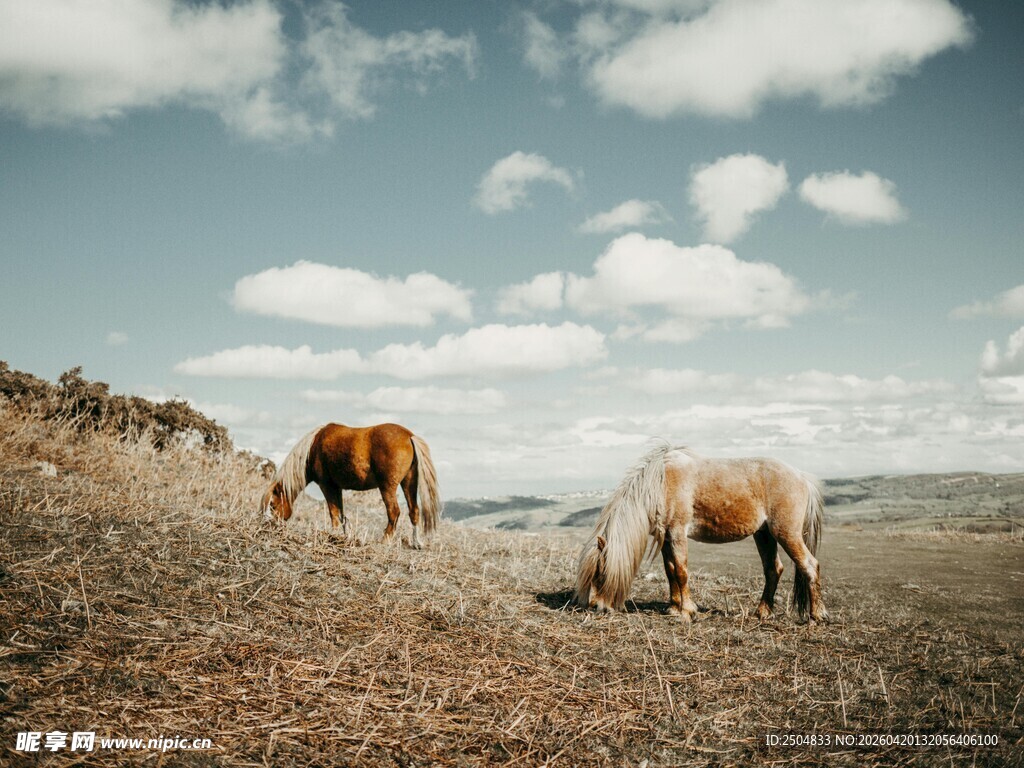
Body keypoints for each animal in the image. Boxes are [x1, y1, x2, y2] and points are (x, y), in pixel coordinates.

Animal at [260, 422, 442, 549]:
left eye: (273, 505)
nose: (270, 526)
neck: (314, 447)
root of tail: (409, 436)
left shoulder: (327, 486)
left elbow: (333, 513)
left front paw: (332, 535)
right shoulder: (337, 488)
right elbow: (341, 514)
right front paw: (343, 536)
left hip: (387, 487)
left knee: (394, 512)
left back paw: (385, 540)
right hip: (409, 482)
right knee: (414, 511)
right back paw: (416, 543)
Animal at [574, 442, 827, 623]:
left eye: (599, 573)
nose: (595, 607)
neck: (660, 483)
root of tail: (802, 476)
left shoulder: (677, 532)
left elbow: (682, 571)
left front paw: (687, 612)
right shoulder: (667, 537)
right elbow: (670, 570)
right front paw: (674, 608)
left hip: (786, 533)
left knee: (809, 565)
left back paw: (817, 616)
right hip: (764, 535)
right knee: (773, 569)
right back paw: (762, 612)